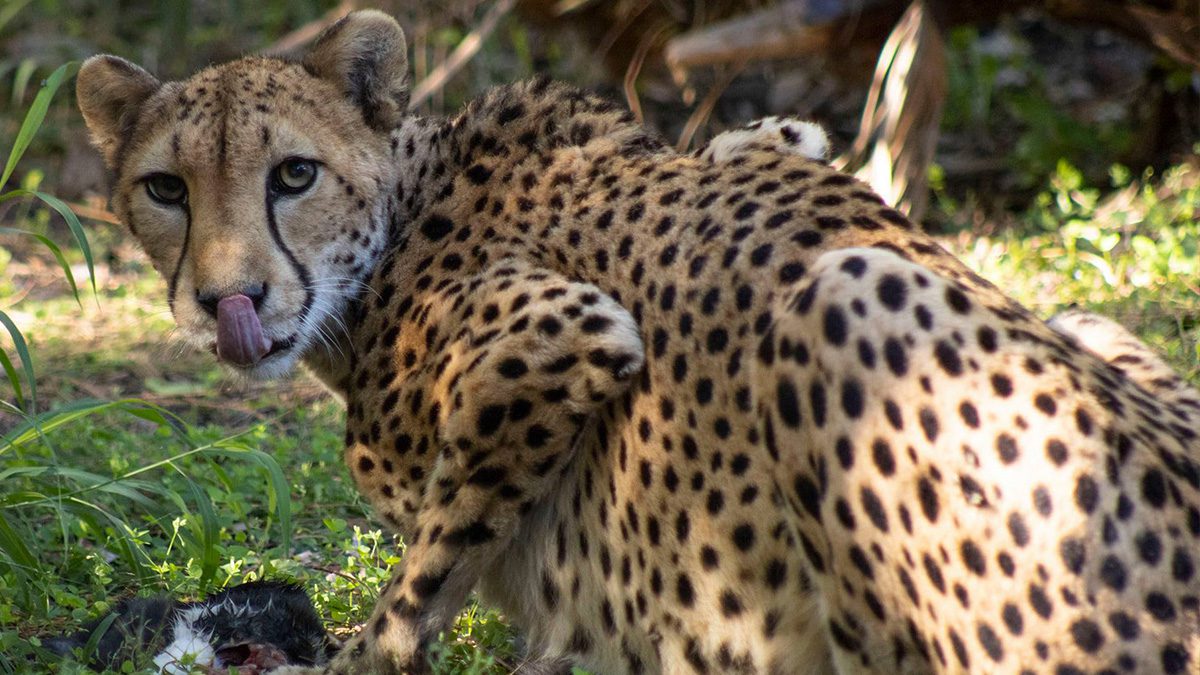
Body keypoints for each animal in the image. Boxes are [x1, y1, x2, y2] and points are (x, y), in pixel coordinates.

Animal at [77, 10, 1200, 672]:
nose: (231, 300)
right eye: (165, 189)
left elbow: (418, 583)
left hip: (848, 293)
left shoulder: (561, 332)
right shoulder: (773, 145)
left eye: (295, 175)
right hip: (1079, 319)